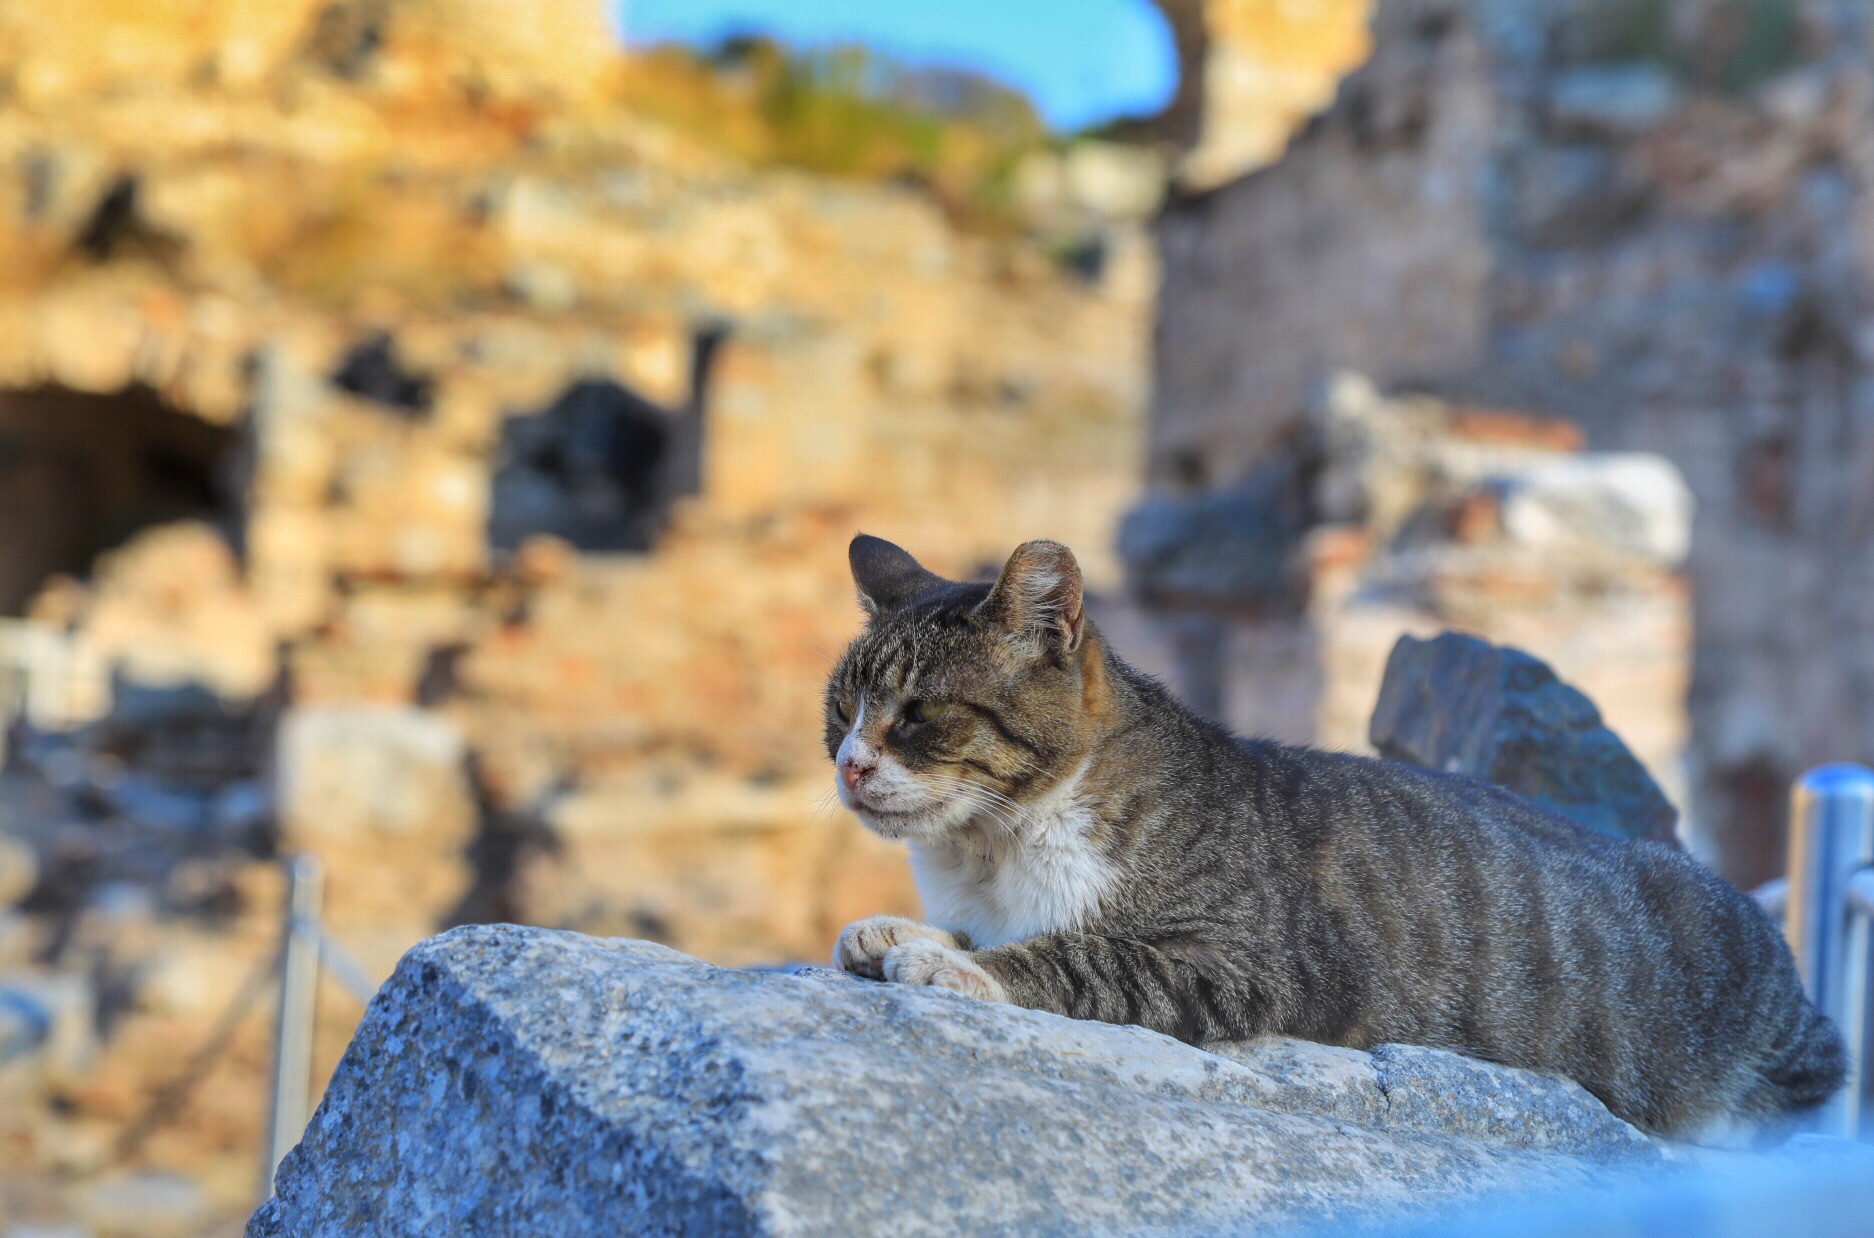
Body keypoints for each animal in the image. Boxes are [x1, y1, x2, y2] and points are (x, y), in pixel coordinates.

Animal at [832, 531, 1844, 1138]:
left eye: (919, 715)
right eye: (840, 709)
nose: (848, 764)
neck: (989, 854)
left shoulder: (1253, 962)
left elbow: (1077, 956)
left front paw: (953, 965)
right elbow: (988, 930)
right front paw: (902, 930)